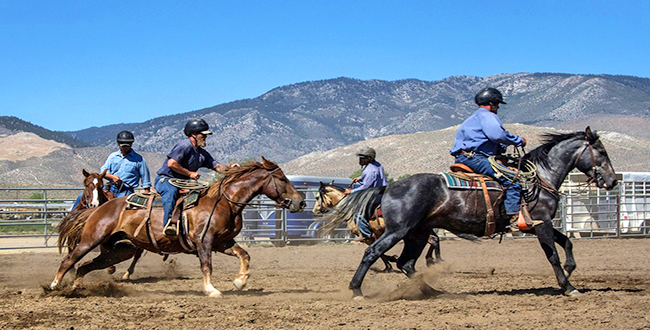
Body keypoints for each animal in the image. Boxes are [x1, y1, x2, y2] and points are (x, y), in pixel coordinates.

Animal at [50, 157, 304, 296]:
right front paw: (211, 290)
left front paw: (240, 281)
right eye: (282, 179)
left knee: (85, 266)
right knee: (69, 260)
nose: (300, 201)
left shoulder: (223, 242)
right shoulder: (204, 241)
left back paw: (76, 288)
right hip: (90, 239)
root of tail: (99, 207)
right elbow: (206, 265)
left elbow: (245, 255)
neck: (223, 201)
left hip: (118, 250)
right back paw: (54, 285)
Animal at [312, 182, 442, 272]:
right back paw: (434, 260)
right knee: (434, 239)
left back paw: (433, 260)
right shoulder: (377, 235)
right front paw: (391, 261)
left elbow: (377, 252)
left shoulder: (368, 237)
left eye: (317, 197)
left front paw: (389, 265)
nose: (315, 211)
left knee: (433, 240)